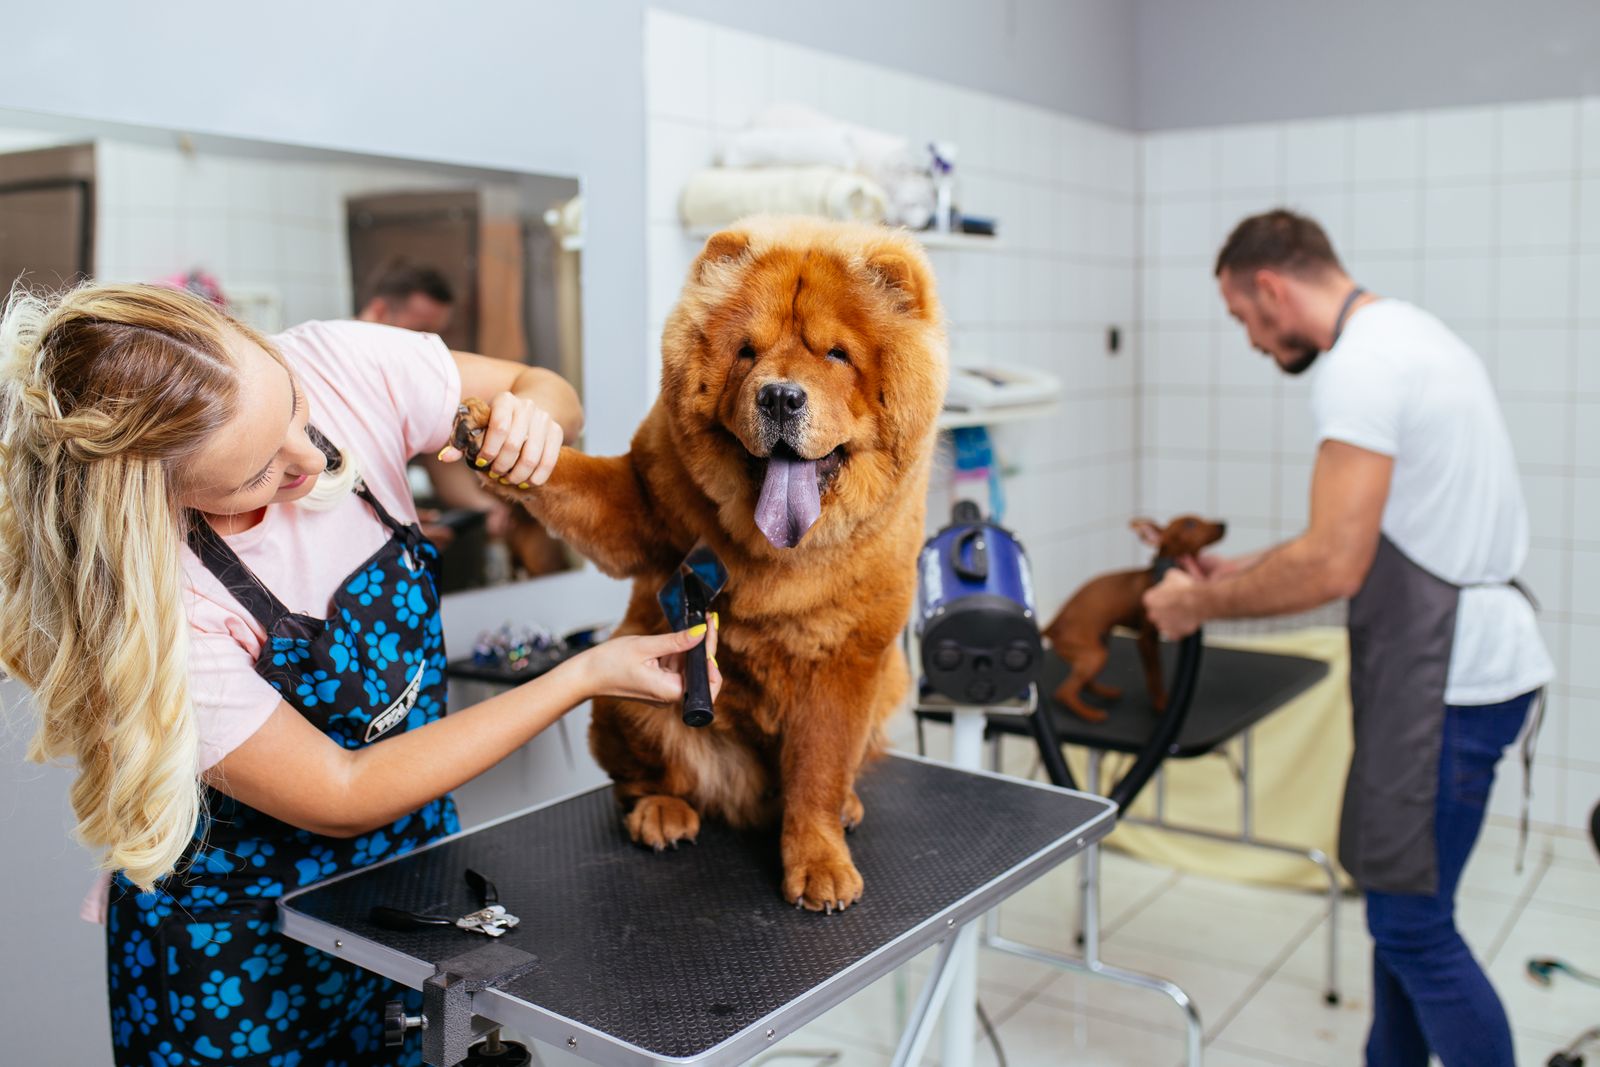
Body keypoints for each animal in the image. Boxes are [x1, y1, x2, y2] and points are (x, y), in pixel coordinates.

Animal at [454, 214, 947, 908]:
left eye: (836, 354)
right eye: (747, 352)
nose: (780, 397)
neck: (780, 550)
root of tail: (751, 798)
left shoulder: (846, 661)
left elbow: (820, 768)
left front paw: (819, 862)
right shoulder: (641, 500)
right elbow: (576, 479)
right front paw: (498, 436)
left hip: (889, 685)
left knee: (832, 772)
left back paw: (845, 807)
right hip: (624, 703)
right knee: (646, 779)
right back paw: (662, 813)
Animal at [1043, 518, 1228, 726]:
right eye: (1190, 524)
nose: (1223, 524)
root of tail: (1053, 625)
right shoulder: (1146, 640)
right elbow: (1155, 674)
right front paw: (1161, 704)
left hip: (1099, 645)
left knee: (1084, 683)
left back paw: (1107, 692)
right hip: (1094, 653)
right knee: (1064, 692)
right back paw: (1090, 714)